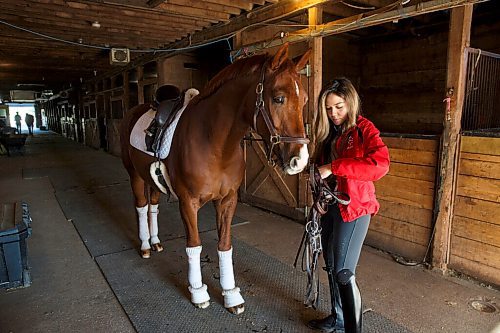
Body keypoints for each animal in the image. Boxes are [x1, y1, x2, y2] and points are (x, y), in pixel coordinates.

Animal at [119, 42, 310, 312]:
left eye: (304, 100)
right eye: (278, 98)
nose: (299, 160)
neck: (215, 143)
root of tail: (136, 109)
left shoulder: (227, 201)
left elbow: (225, 246)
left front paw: (231, 294)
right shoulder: (188, 203)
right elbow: (194, 245)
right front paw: (198, 292)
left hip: (151, 178)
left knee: (153, 207)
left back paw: (155, 241)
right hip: (134, 175)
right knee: (141, 207)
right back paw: (146, 245)